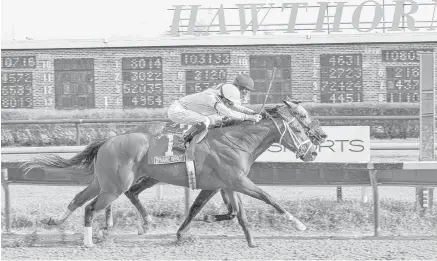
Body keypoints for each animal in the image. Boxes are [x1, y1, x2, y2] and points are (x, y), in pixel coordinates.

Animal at [23, 99, 324, 246]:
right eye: (300, 125)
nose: (315, 148)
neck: (236, 140)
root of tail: (108, 140)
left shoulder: (223, 184)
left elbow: (226, 212)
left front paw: (245, 239)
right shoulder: (237, 180)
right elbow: (268, 198)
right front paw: (298, 225)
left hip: (108, 181)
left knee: (80, 198)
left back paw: (57, 222)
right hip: (115, 185)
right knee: (91, 206)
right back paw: (89, 242)